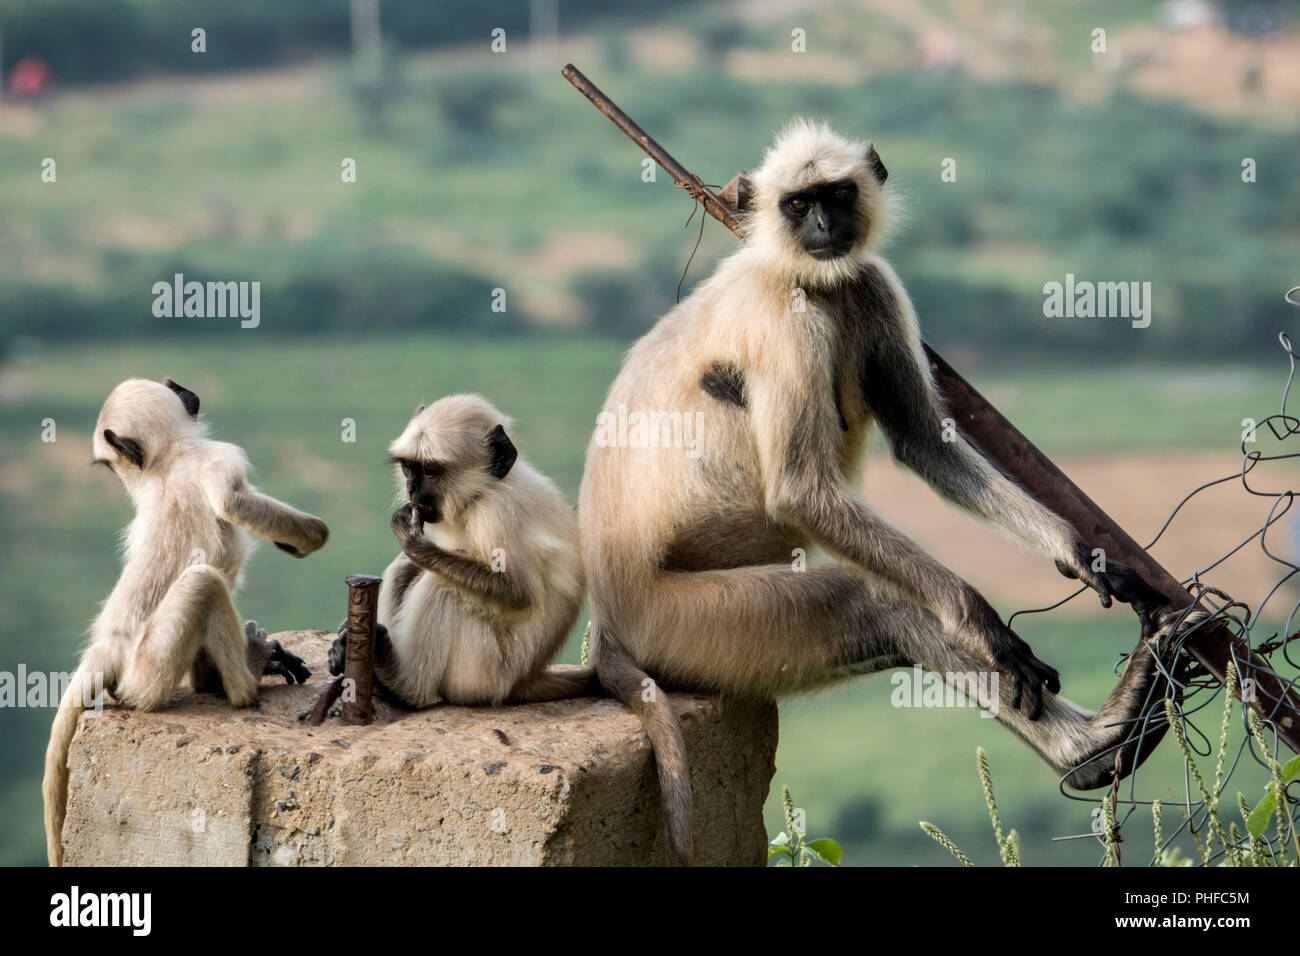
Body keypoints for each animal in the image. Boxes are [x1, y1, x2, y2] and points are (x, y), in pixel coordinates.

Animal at [43, 377, 327, 866]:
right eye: (176, 390)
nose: (184, 388)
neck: (165, 461)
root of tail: (108, 645)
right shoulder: (213, 455)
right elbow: (231, 501)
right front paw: (311, 537)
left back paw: (217, 679)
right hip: (149, 670)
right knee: (204, 581)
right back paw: (248, 677)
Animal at [328, 394, 593, 708]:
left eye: (430, 471)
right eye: (408, 467)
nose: (412, 489)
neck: (485, 490)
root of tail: (523, 682)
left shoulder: (498, 511)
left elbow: (518, 592)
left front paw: (415, 543)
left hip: (482, 674)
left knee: (443, 588)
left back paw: (405, 686)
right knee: (406, 569)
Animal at [577, 120, 1173, 866]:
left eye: (836, 195)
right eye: (797, 205)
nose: (824, 226)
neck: (801, 274)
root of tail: (607, 617)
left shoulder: (870, 283)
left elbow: (924, 439)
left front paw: (1080, 552)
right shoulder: (787, 318)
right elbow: (802, 493)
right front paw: (981, 620)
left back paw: (1095, 748)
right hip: (686, 624)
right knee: (870, 597)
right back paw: (1090, 743)